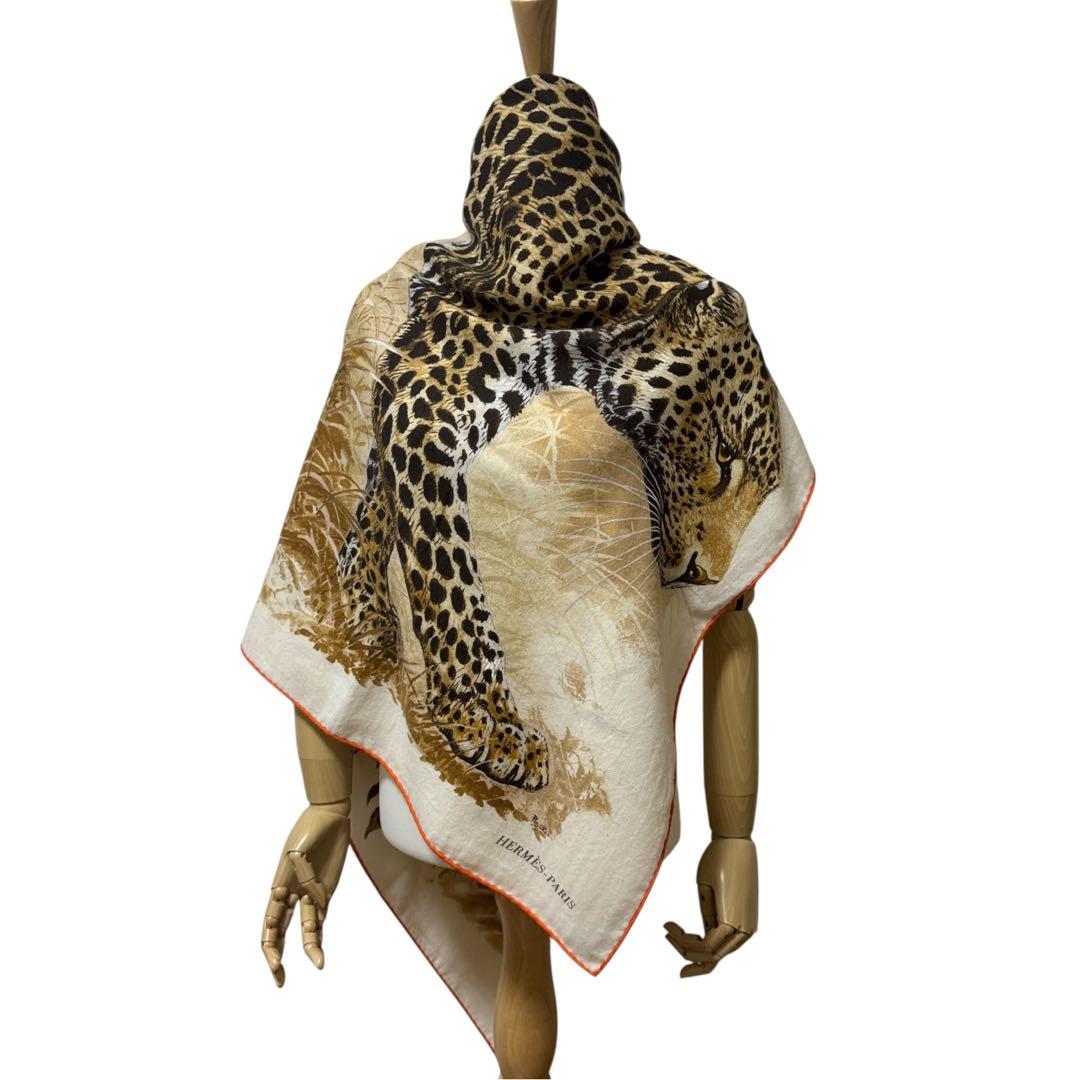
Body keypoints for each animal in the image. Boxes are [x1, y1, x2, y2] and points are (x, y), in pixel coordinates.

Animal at [337, 75, 782, 792]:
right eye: (723, 457)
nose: (705, 578)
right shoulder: (430, 391)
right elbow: (450, 568)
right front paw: (488, 721)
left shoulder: (423, 376)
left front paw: (365, 597)